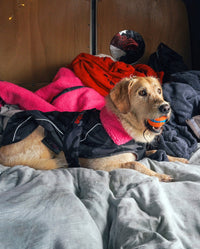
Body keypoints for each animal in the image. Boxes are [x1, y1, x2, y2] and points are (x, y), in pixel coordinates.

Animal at [0, 76, 188, 181]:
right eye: (142, 93)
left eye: (159, 91)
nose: (166, 107)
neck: (123, 125)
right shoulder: (100, 165)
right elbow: (137, 165)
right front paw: (160, 176)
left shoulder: (141, 151)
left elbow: (156, 152)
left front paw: (181, 159)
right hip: (41, 135)